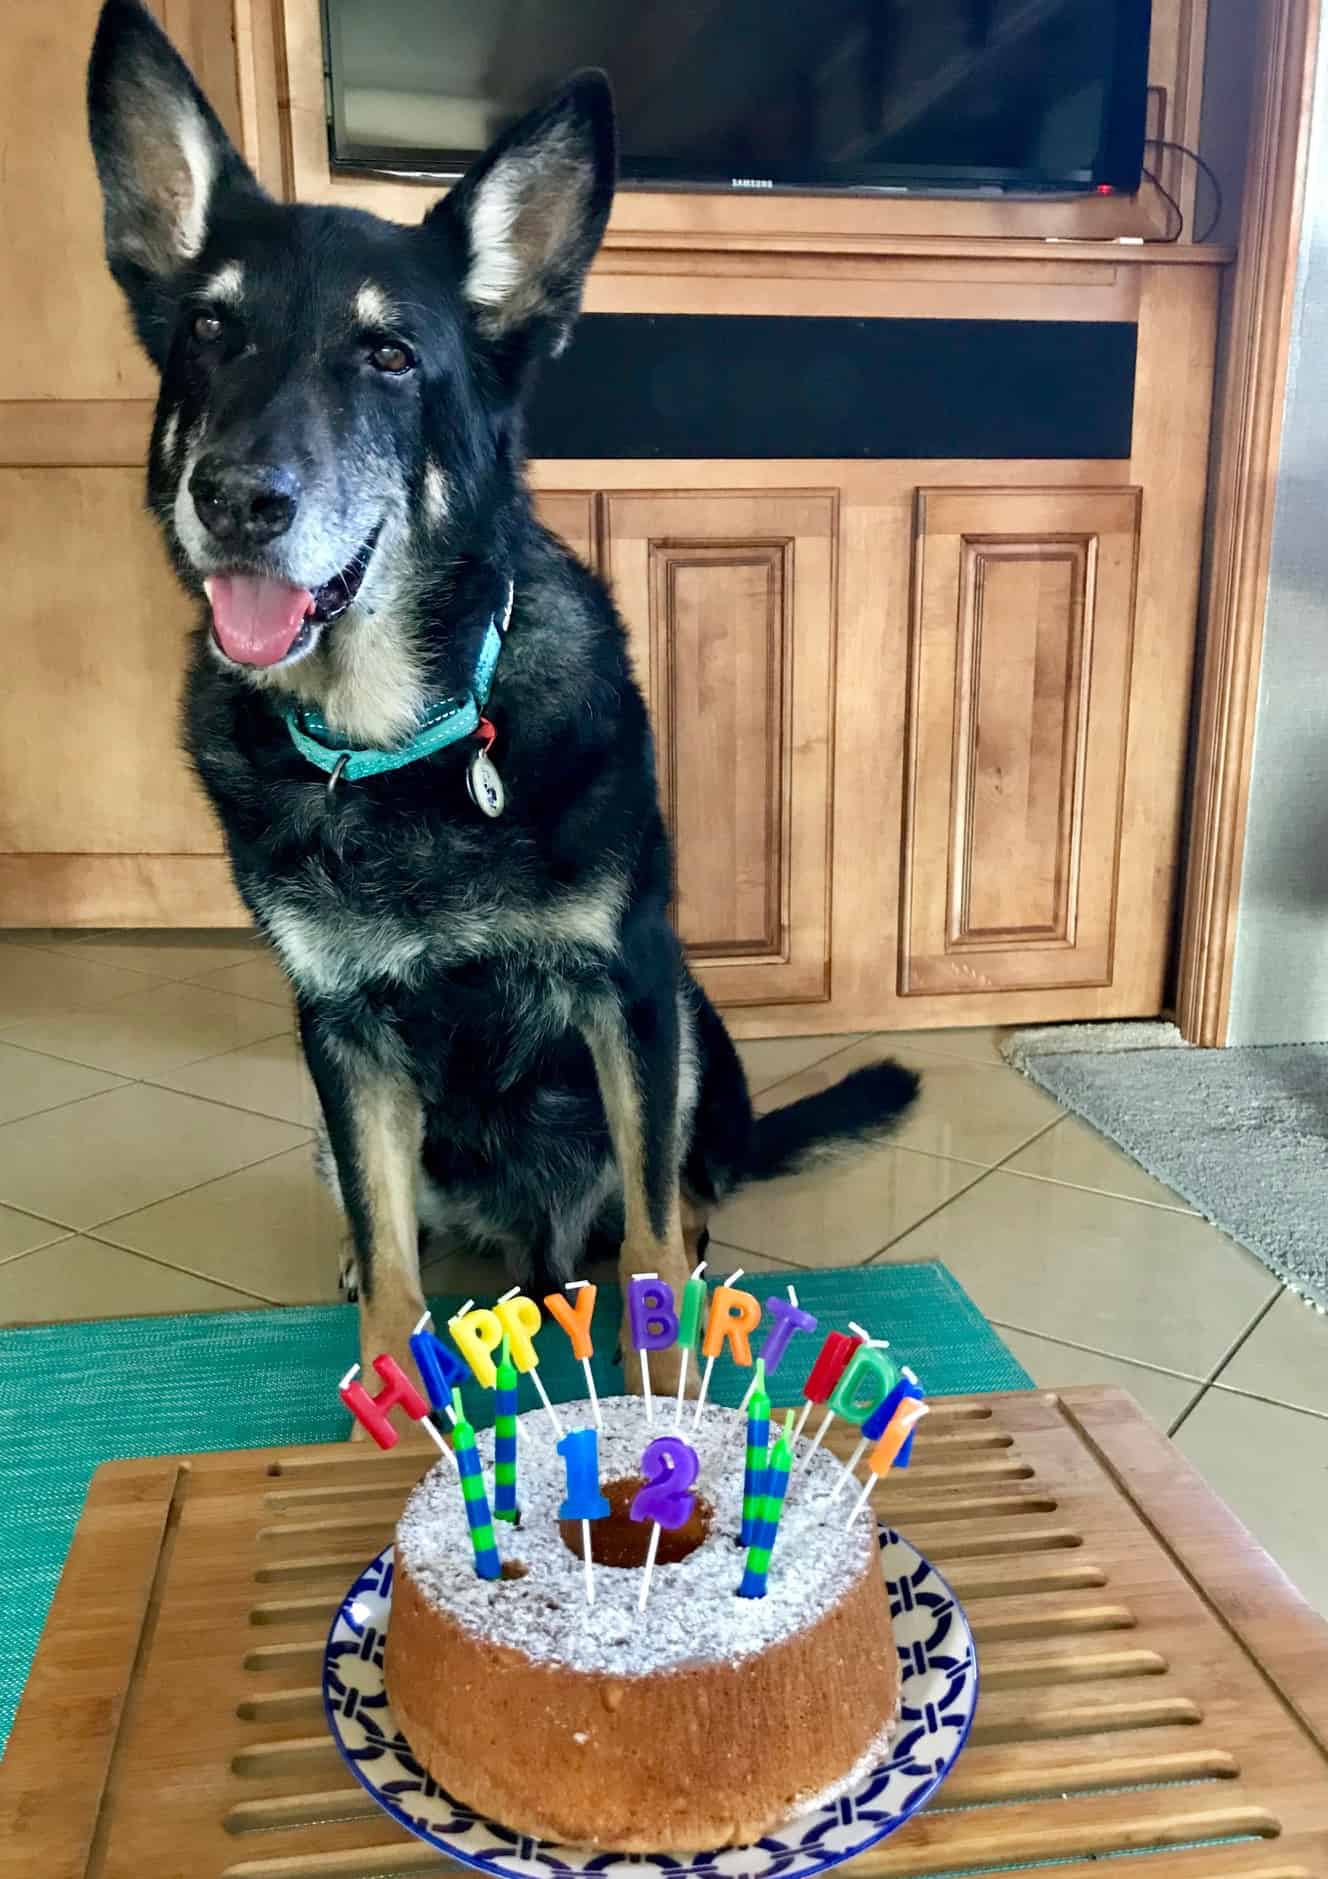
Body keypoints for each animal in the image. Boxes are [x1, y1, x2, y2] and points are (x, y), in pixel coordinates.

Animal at [88, 0, 920, 1397]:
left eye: (388, 355)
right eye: (209, 332)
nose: (238, 500)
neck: (399, 746)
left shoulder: (628, 989)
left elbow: (646, 1234)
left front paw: (660, 1384)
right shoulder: (340, 1031)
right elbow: (388, 1245)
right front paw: (384, 1383)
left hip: (693, 1027)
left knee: (675, 1195)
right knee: (392, 1212)